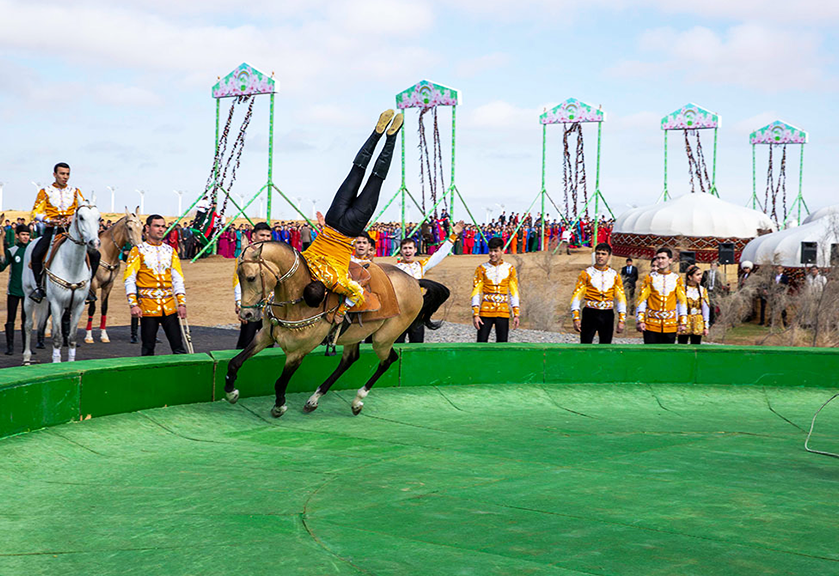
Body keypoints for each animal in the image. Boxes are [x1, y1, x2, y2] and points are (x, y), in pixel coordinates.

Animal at [22, 201, 101, 364]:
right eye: (81, 217)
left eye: (99, 218)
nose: (94, 243)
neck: (72, 266)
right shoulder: (56, 305)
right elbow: (57, 338)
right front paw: (56, 363)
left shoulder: (78, 306)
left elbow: (72, 338)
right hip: (28, 296)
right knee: (28, 325)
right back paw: (26, 358)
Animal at [221, 241, 446, 416]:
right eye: (238, 275)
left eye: (251, 278)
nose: (246, 315)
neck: (297, 301)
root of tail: (414, 281)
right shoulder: (265, 336)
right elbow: (234, 362)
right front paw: (231, 392)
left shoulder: (298, 352)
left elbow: (280, 382)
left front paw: (279, 406)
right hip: (355, 334)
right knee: (349, 360)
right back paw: (315, 399)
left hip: (383, 338)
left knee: (388, 359)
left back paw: (357, 399)